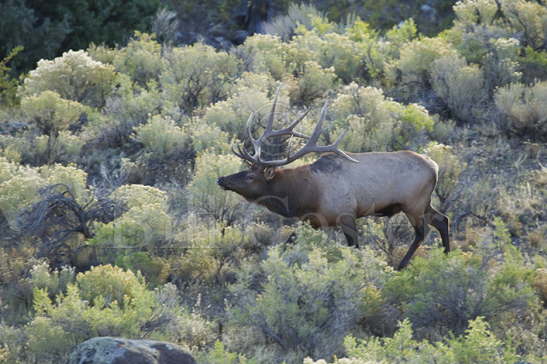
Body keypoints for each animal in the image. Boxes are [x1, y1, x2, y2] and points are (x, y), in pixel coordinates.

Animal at [218, 91, 450, 268]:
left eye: (250, 176)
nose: (221, 179)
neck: (305, 195)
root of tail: (435, 166)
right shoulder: (313, 220)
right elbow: (289, 240)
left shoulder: (346, 214)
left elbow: (355, 248)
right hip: (423, 203)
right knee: (442, 219)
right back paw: (447, 256)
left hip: (413, 203)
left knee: (422, 232)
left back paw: (402, 266)